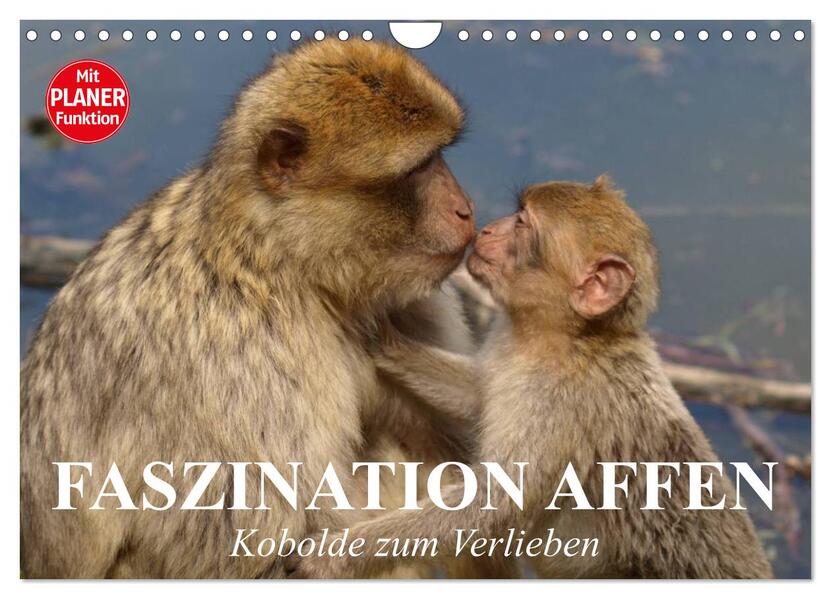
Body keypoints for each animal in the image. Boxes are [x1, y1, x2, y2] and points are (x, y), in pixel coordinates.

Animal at [20, 39, 494, 579]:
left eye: (441, 157)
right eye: (419, 168)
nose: (465, 209)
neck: (279, 261)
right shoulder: (243, 362)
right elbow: (246, 546)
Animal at [287, 176, 774, 579]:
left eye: (522, 223)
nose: (485, 229)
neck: (563, 339)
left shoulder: (558, 402)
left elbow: (493, 504)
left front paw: (337, 554)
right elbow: (477, 395)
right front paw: (381, 338)